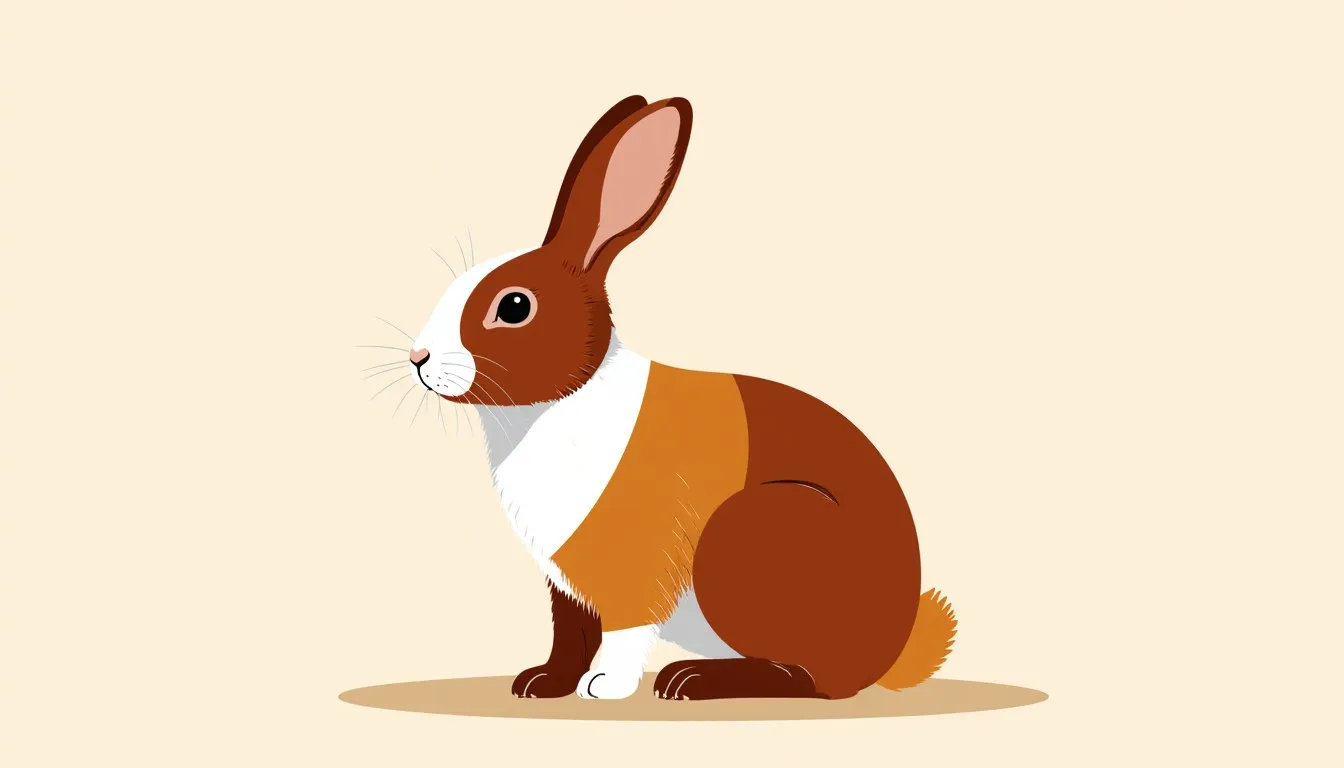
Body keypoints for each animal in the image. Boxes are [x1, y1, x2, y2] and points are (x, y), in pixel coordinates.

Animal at [405, 95, 956, 701]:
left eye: (514, 306)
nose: (418, 358)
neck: (560, 404)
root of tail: (891, 651)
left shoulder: (637, 566)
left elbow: (625, 628)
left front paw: (605, 686)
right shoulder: (569, 588)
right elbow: (570, 633)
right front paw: (543, 683)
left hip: (749, 539)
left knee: (808, 680)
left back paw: (692, 681)